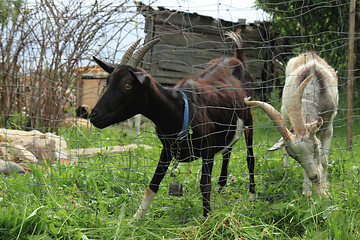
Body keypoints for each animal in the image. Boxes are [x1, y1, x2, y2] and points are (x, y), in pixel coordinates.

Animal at [90, 32, 256, 220]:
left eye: (128, 85)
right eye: (108, 80)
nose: (94, 115)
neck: (180, 110)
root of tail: (238, 59)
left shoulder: (207, 149)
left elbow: (204, 185)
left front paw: (207, 219)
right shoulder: (167, 149)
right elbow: (153, 184)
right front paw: (135, 219)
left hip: (249, 117)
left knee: (250, 158)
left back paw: (251, 197)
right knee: (228, 151)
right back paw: (221, 187)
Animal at [245, 52, 338, 197]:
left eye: (315, 147)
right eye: (296, 158)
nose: (314, 177)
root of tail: (309, 53)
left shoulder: (328, 128)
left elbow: (324, 162)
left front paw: (324, 192)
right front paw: (307, 192)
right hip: (285, 113)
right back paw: (285, 172)